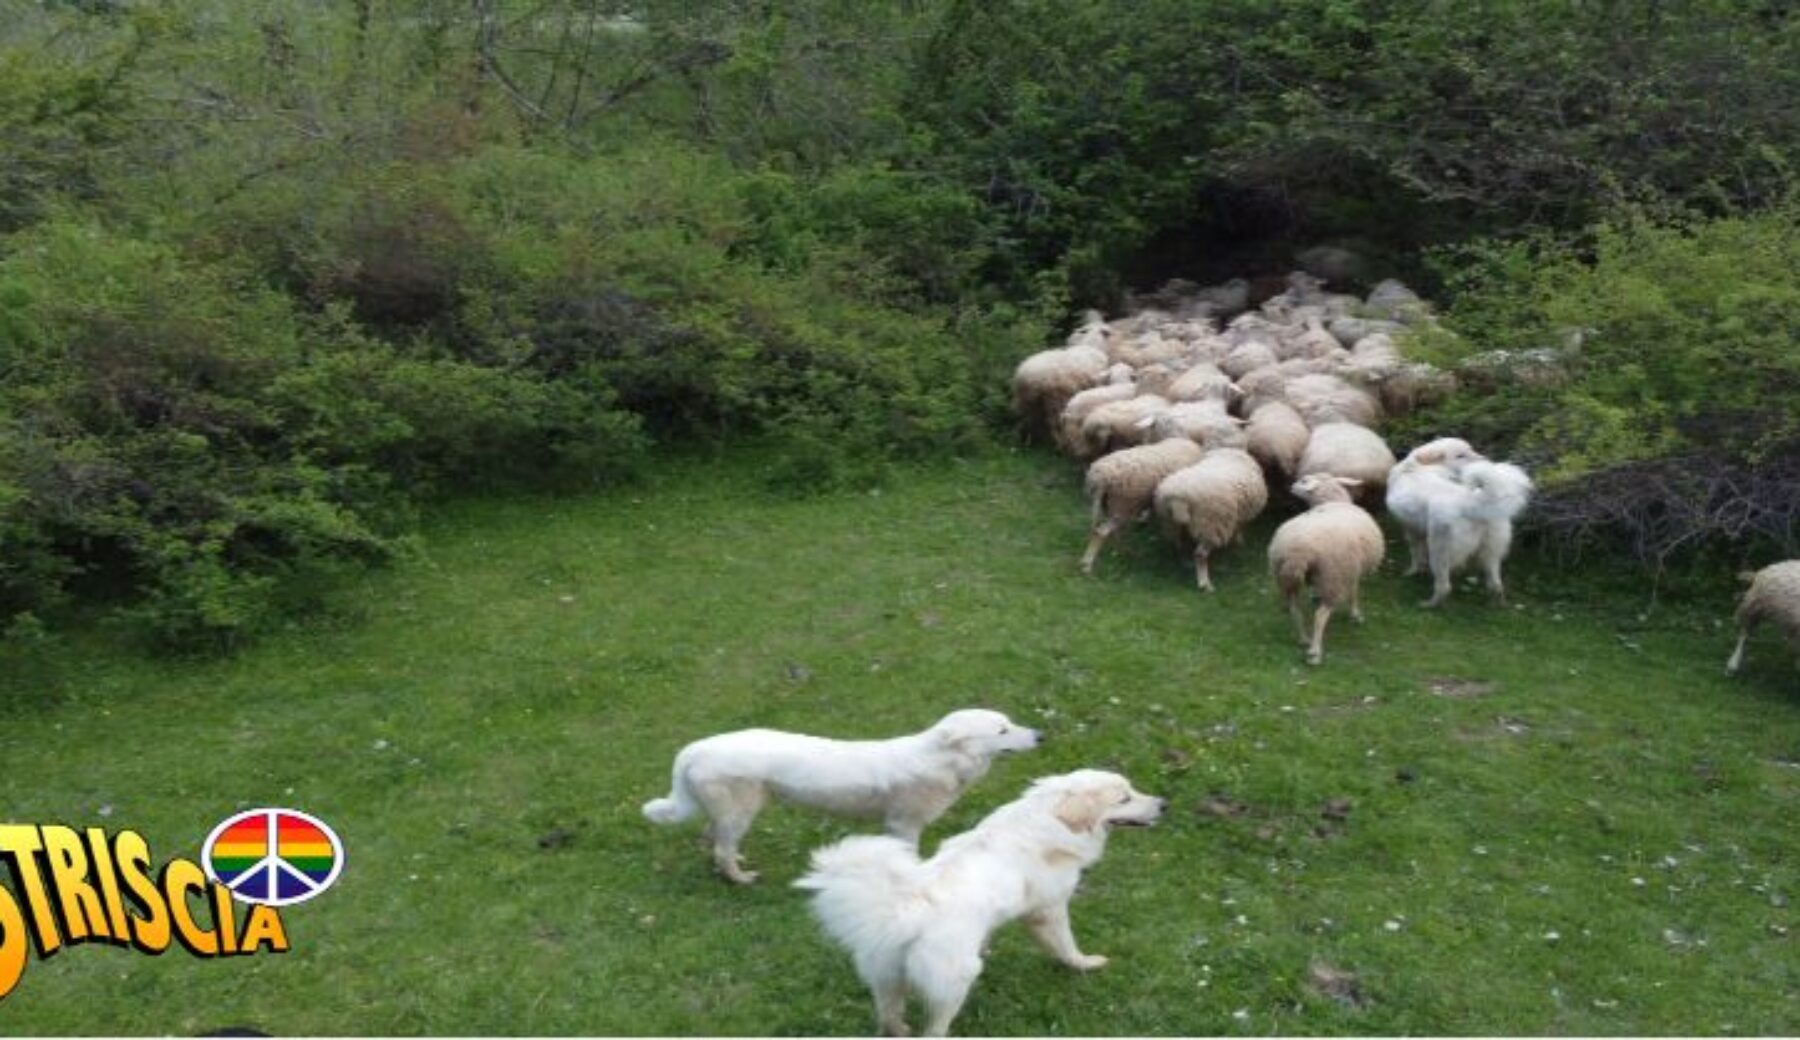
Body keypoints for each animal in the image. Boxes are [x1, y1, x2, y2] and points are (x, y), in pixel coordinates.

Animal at [648, 705, 1044, 881]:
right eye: (1002, 730)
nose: (1041, 736)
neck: (942, 761)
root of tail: (694, 748)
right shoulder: (903, 825)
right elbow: (910, 858)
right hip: (740, 812)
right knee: (721, 846)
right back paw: (741, 878)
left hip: (737, 811)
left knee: (712, 839)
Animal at [795, 766, 1159, 1029]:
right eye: (1124, 799)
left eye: (1132, 791)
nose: (1164, 804)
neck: (1051, 819)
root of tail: (903, 912)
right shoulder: (1049, 910)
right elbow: (1066, 946)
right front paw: (1085, 964)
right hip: (955, 982)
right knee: (935, 1029)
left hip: (887, 980)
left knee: (890, 1020)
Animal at [1072, 413, 1202, 575]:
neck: (1173, 436)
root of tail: (1100, 479)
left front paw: (1144, 520)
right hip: (1122, 504)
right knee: (1102, 532)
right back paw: (1087, 564)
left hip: (1108, 504)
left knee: (1109, 531)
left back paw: (1124, 552)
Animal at [1152, 446, 1267, 590]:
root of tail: (1177, 499)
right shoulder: (1240, 515)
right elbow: (1239, 529)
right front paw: (1239, 543)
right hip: (1210, 525)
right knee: (1200, 555)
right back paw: (1205, 584)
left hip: (1171, 523)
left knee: (1179, 545)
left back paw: (1186, 563)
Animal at [1260, 471, 1382, 662]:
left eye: (1304, 480)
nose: (1291, 486)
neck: (1333, 501)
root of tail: (1297, 552)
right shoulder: (1351, 569)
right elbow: (1354, 592)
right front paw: (1355, 614)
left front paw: (1314, 595)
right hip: (1332, 576)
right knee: (1320, 616)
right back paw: (1315, 652)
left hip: (1286, 575)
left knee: (1296, 610)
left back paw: (1304, 639)